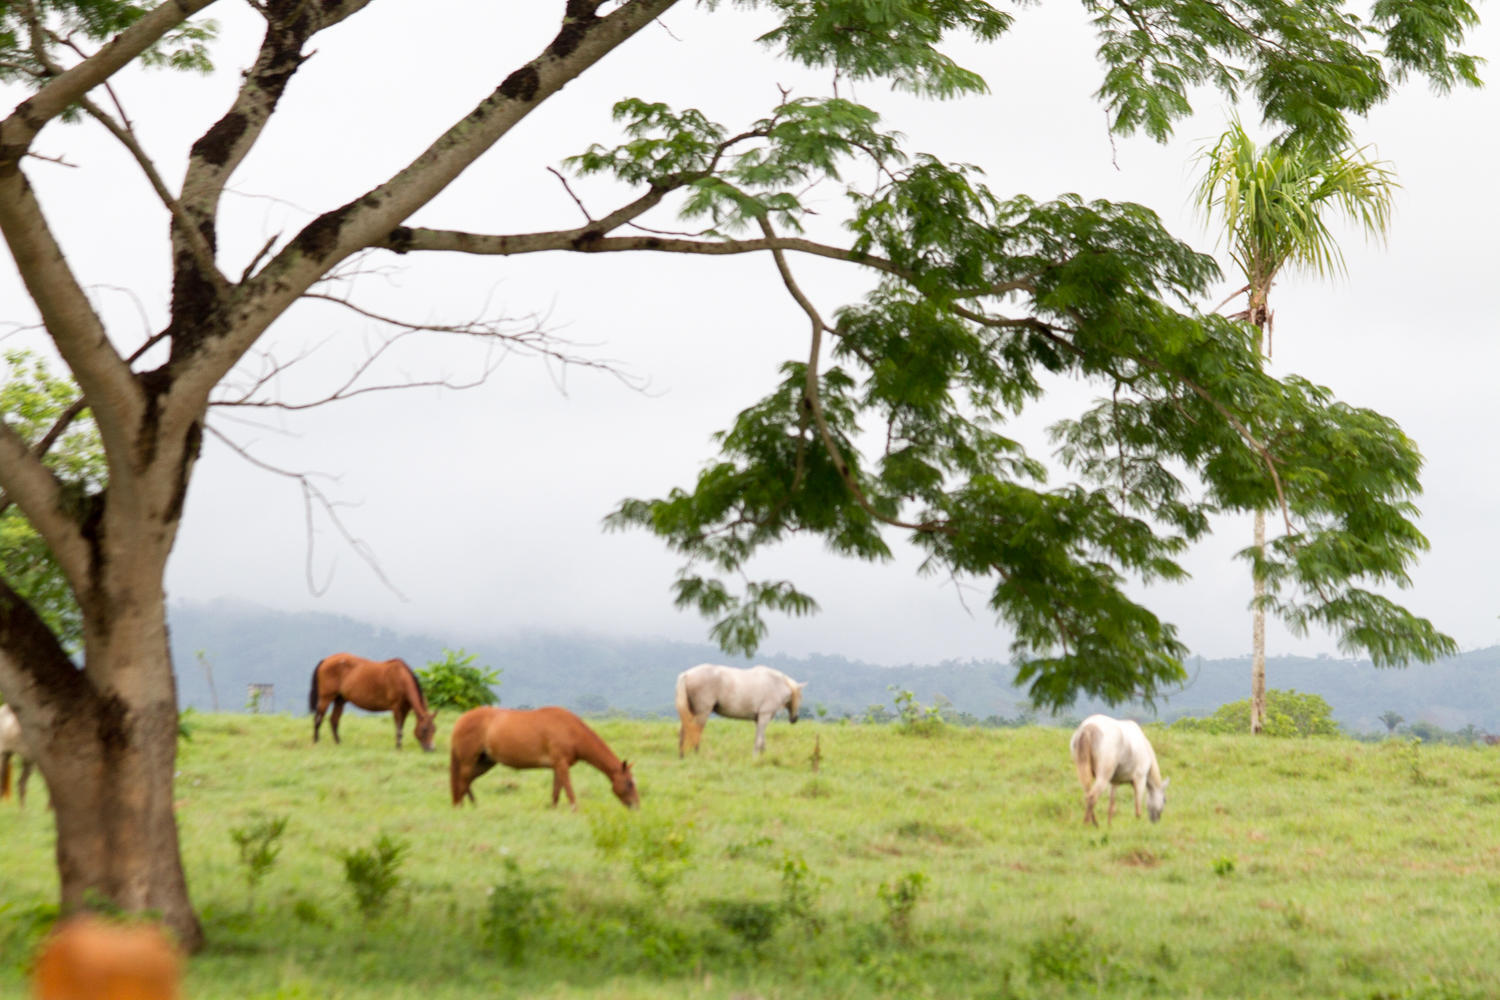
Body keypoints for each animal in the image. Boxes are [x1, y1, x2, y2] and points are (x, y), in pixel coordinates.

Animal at [449, 706, 639, 810]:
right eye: (629, 783)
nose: (636, 806)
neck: (571, 730)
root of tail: (460, 720)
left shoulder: (557, 767)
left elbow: (556, 793)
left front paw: (553, 810)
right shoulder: (561, 765)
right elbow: (569, 791)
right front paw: (575, 810)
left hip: (485, 762)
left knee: (467, 782)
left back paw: (472, 805)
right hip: (469, 761)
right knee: (463, 781)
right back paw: (460, 806)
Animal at [675, 663, 806, 757]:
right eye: (800, 696)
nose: (795, 719)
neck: (776, 683)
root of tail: (687, 674)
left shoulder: (759, 720)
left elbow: (761, 740)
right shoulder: (764, 716)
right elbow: (759, 741)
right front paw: (755, 758)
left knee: (684, 731)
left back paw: (682, 755)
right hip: (702, 713)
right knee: (695, 731)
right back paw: (696, 755)